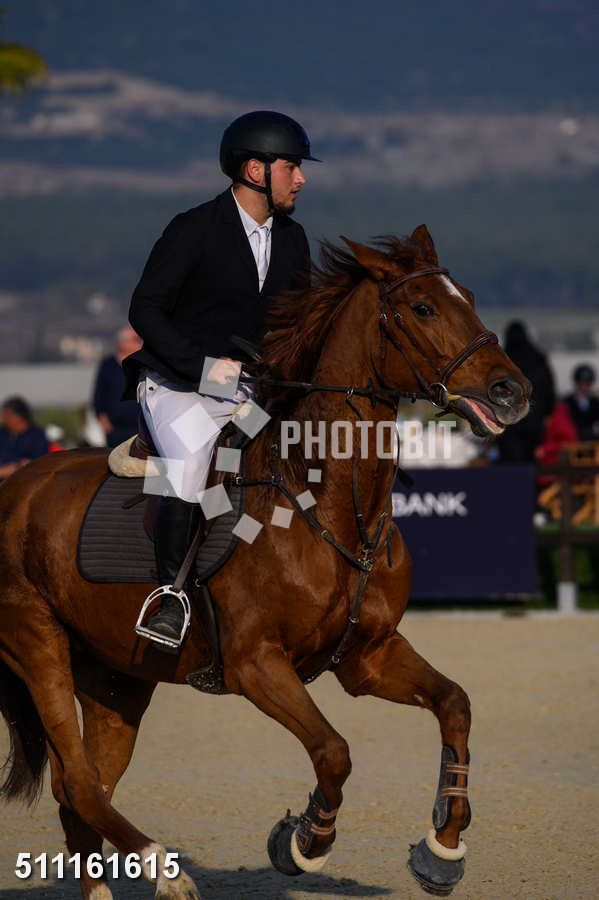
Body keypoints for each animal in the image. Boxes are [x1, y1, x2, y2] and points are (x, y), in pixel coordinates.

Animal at [0, 225, 530, 899]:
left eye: (469, 298)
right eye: (424, 308)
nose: (513, 392)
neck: (327, 502)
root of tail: (14, 486)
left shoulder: (369, 656)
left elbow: (455, 705)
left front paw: (442, 850)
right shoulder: (256, 665)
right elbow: (334, 751)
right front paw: (304, 842)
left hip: (116, 678)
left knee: (85, 791)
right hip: (37, 645)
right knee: (77, 781)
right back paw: (168, 872)